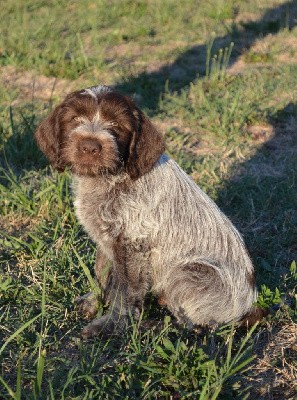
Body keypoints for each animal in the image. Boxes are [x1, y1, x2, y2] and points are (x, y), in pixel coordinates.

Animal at [35, 84, 264, 338]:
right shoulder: (107, 239)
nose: (90, 147)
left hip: (187, 273)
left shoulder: (132, 244)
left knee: (195, 327)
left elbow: (124, 292)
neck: (109, 179)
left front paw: (112, 324)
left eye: (116, 125)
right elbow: (101, 272)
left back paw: (152, 327)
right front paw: (94, 302)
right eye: (75, 119)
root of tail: (248, 307)